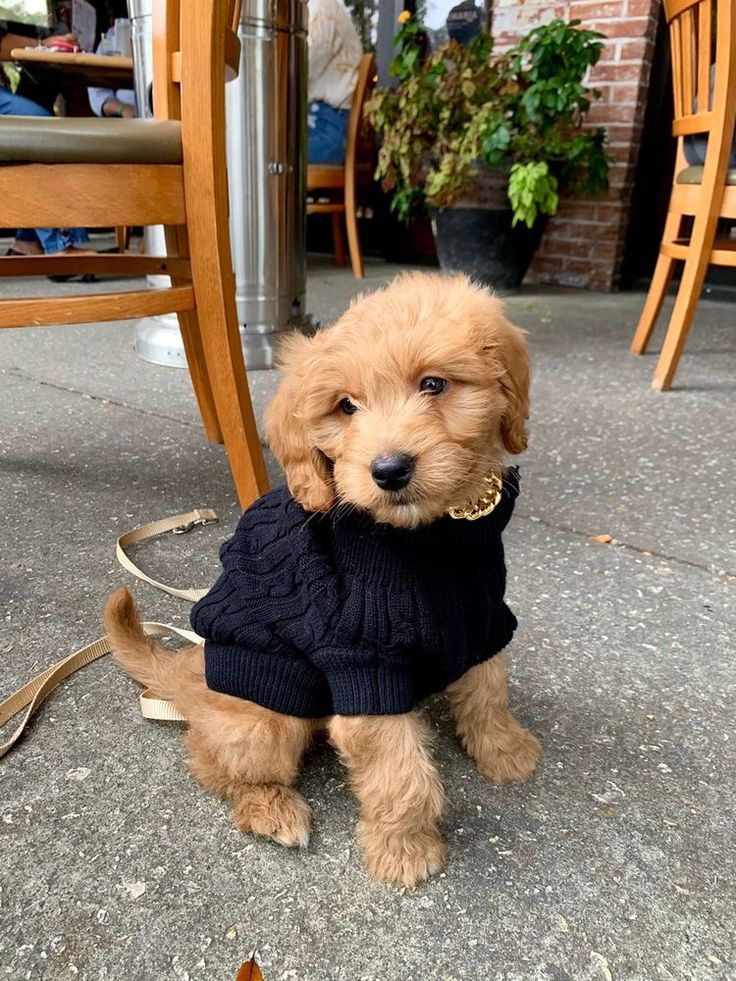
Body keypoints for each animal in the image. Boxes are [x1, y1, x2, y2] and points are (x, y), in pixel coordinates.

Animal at [105, 270, 540, 888]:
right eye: (346, 406)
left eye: (434, 383)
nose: (388, 470)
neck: (429, 539)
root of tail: (195, 679)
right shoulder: (362, 661)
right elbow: (399, 770)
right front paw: (405, 849)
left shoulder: (483, 618)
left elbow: (488, 691)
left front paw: (505, 751)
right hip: (265, 716)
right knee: (210, 758)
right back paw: (270, 808)